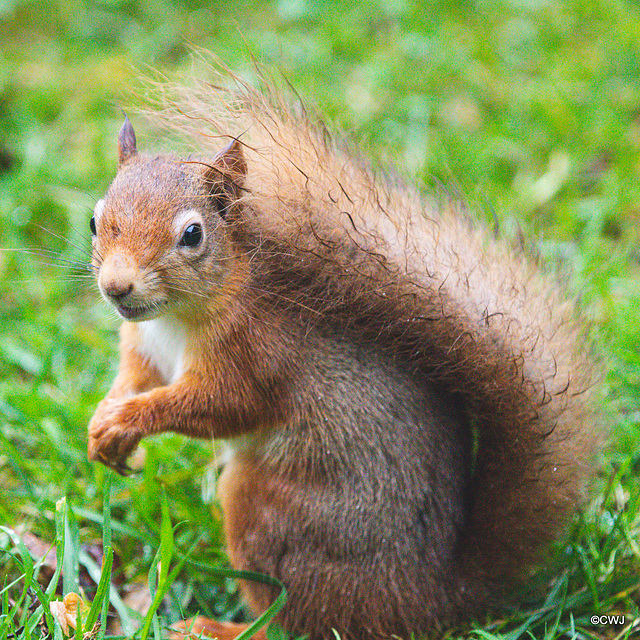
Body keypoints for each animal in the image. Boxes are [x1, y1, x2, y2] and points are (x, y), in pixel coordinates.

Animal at [87, 71, 604, 640]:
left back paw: (217, 628)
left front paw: (131, 419)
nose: (116, 287)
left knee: (294, 623)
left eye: (193, 234)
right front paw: (104, 423)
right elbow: (135, 377)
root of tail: (428, 598)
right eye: (94, 222)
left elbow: (223, 405)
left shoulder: (257, 352)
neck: (175, 319)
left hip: (269, 512)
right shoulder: (145, 349)